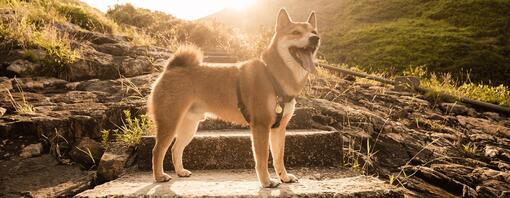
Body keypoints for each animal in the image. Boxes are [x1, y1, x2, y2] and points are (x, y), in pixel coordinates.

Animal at [147, 8, 320, 188]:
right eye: (296, 32)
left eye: (314, 32)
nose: (315, 38)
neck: (273, 75)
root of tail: (170, 68)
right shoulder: (261, 126)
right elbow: (262, 159)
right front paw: (266, 182)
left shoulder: (278, 128)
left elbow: (279, 157)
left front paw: (284, 177)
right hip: (169, 123)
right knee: (157, 150)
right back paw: (159, 176)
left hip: (189, 126)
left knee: (176, 148)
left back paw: (180, 171)